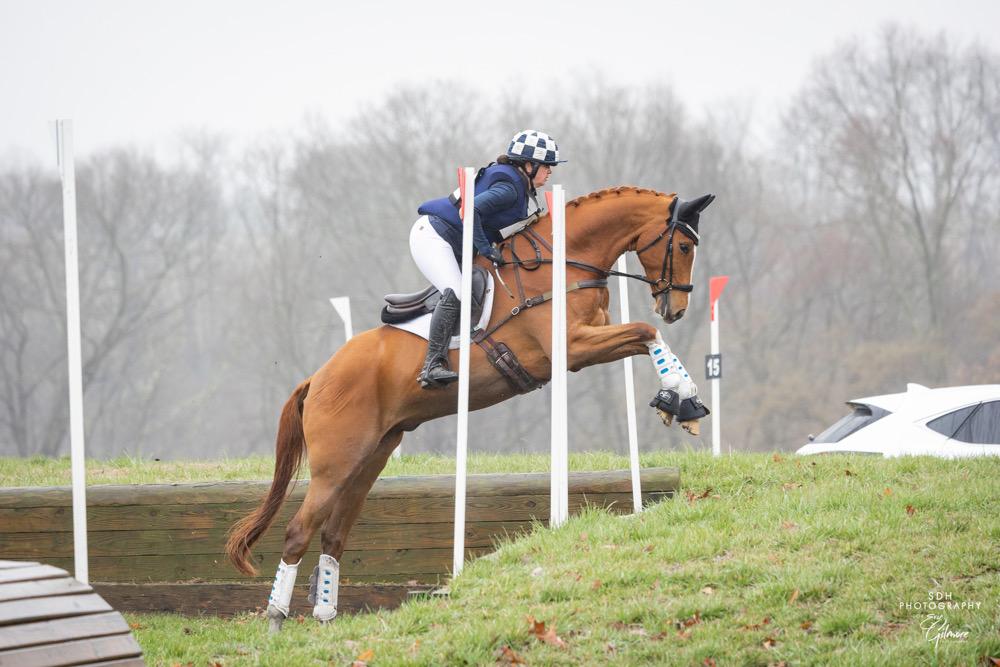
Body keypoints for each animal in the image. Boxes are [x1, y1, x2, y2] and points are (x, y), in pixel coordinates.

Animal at [225, 186, 715, 631]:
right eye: (684, 246)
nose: (677, 307)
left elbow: (644, 336)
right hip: (336, 463)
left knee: (333, 532)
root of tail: (317, 378)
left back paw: (325, 615)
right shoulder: (573, 347)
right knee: (299, 530)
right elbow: (646, 331)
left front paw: (682, 402)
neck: (564, 261)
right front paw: (680, 398)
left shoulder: (589, 340)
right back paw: (276, 617)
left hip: (371, 457)